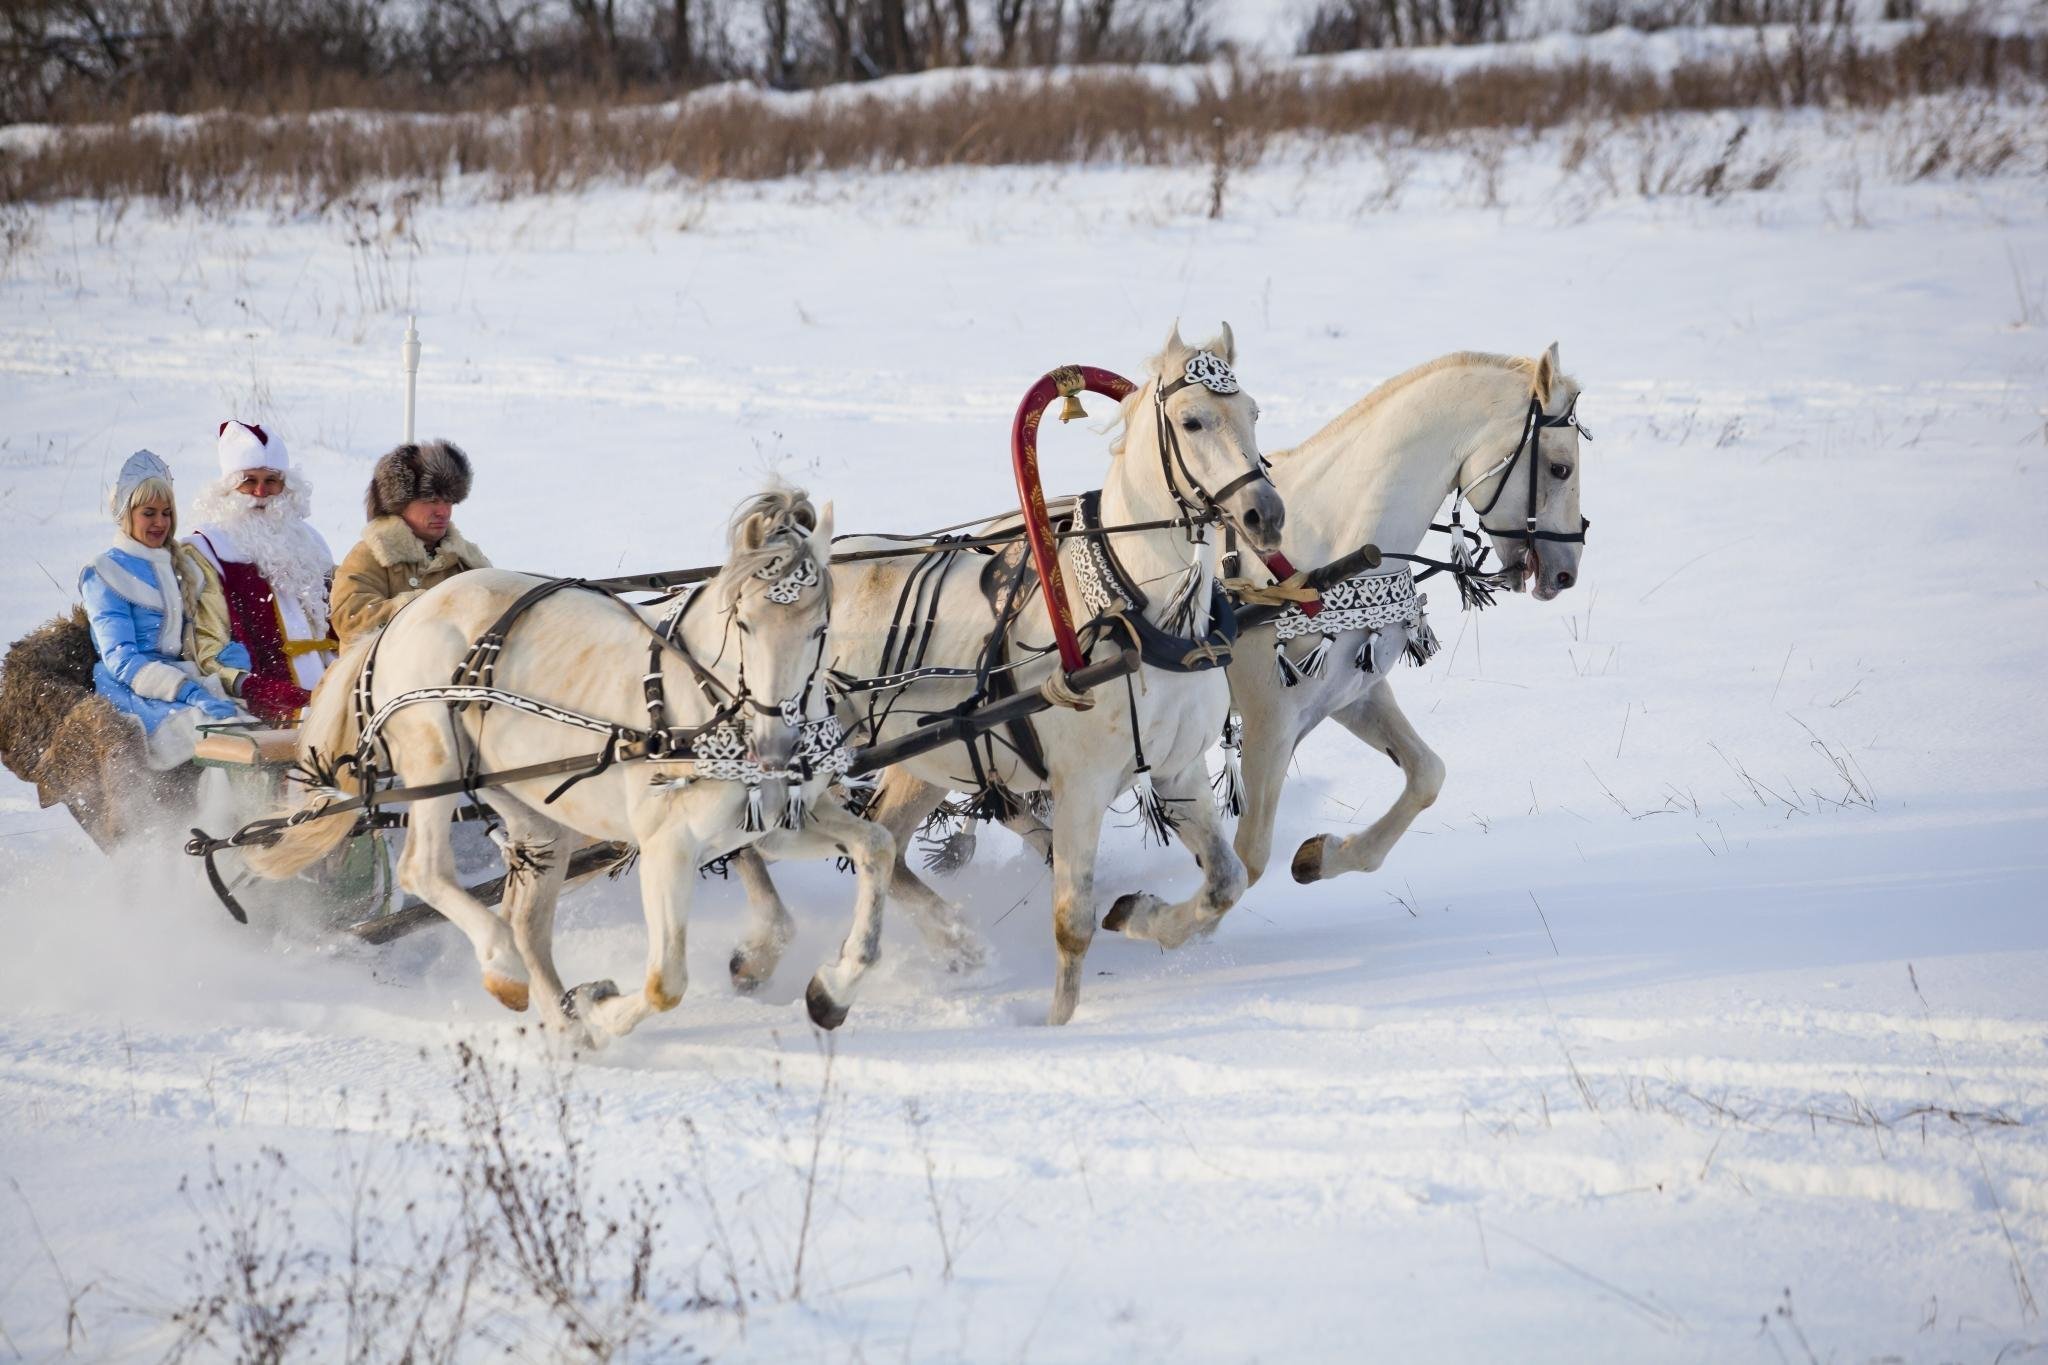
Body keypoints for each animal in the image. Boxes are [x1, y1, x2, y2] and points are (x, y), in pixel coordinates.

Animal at [245, 491, 888, 1047]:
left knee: (526, 919)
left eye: (820, 627)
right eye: (745, 622)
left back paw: (564, 1021)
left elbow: (875, 847)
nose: (775, 748)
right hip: (433, 760)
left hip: (532, 811)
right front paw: (603, 1008)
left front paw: (833, 990)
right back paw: (505, 969)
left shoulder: (773, 826)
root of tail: (405, 615)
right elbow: (665, 982)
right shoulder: (669, 846)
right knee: (425, 872)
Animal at [733, 321, 1277, 1023]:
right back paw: (765, 954)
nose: (1267, 514)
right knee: (756, 839)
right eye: (1192, 421)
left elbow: (1224, 883)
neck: (1131, 610)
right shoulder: (1081, 788)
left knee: (882, 843)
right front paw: (1057, 1025)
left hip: (921, 763)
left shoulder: (1179, 771)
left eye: (1254, 414)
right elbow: (1072, 922)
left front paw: (1140, 915)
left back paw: (949, 945)